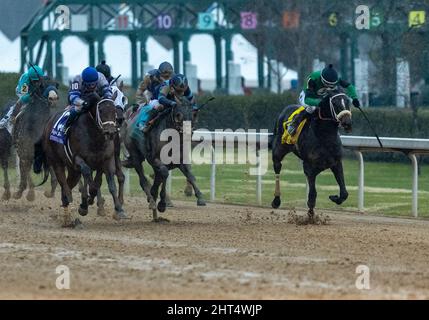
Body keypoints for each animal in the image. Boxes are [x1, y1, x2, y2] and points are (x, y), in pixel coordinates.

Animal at [37, 91, 125, 229]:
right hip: (57, 162)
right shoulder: (78, 159)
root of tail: (48, 123)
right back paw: (69, 214)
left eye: (114, 110)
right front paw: (85, 205)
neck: (95, 137)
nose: (110, 132)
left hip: (73, 171)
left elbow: (111, 185)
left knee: (67, 188)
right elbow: (90, 181)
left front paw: (119, 209)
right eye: (100, 110)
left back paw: (68, 216)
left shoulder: (107, 160)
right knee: (65, 186)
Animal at [270, 89, 352, 221]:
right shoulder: (309, 167)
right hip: (278, 150)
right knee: (277, 168)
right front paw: (310, 218)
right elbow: (312, 195)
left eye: (348, 101)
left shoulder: (336, 163)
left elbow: (344, 193)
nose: (347, 123)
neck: (324, 136)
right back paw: (276, 200)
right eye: (334, 103)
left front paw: (334, 197)